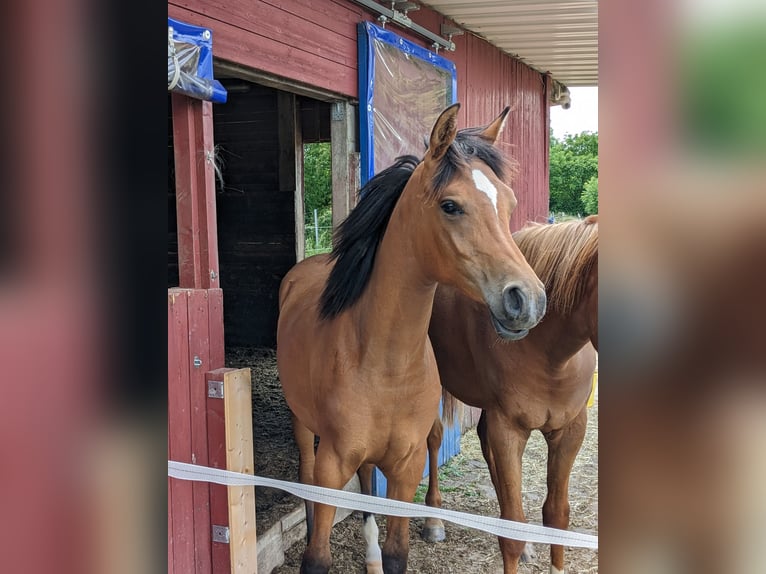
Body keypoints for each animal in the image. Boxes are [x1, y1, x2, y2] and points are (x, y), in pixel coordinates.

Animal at [280, 104, 548, 574]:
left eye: (509, 203)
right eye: (450, 205)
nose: (527, 300)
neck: (383, 363)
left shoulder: (406, 469)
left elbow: (396, 554)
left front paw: (381, 554)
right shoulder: (333, 465)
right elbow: (316, 558)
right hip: (303, 426)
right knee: (306, 472)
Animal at [424, 216, 596, 574]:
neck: (550, 354)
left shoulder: (571, 429)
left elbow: (557, 516)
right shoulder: (510, 428)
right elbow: (512, 531)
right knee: (434, 438)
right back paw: (434, 520)